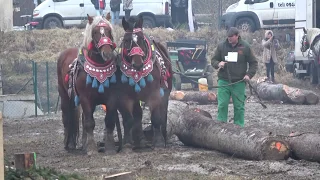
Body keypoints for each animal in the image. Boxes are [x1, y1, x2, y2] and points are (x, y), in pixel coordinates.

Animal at [57, 14, 122, 155]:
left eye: (108, 30)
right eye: (96, 32)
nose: (107, 53)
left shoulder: (111, 98)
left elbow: (109, 121)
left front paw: (109, 147)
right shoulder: (85, 98)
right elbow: (89, 123)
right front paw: (92, 148)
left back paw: (83, 143)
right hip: (64, 95)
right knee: (66, 116)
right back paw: (68, 143)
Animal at [107, 15, 172, 148]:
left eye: (142, 40)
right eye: (126, 41)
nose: (137, 64)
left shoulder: (155, 93)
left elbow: (156, 117)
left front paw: (158, 141)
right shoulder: (125, 96)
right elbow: (129, 119)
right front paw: (127, 142)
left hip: (166, 92)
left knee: (163, 112)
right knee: (138, 115)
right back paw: (140, 139)